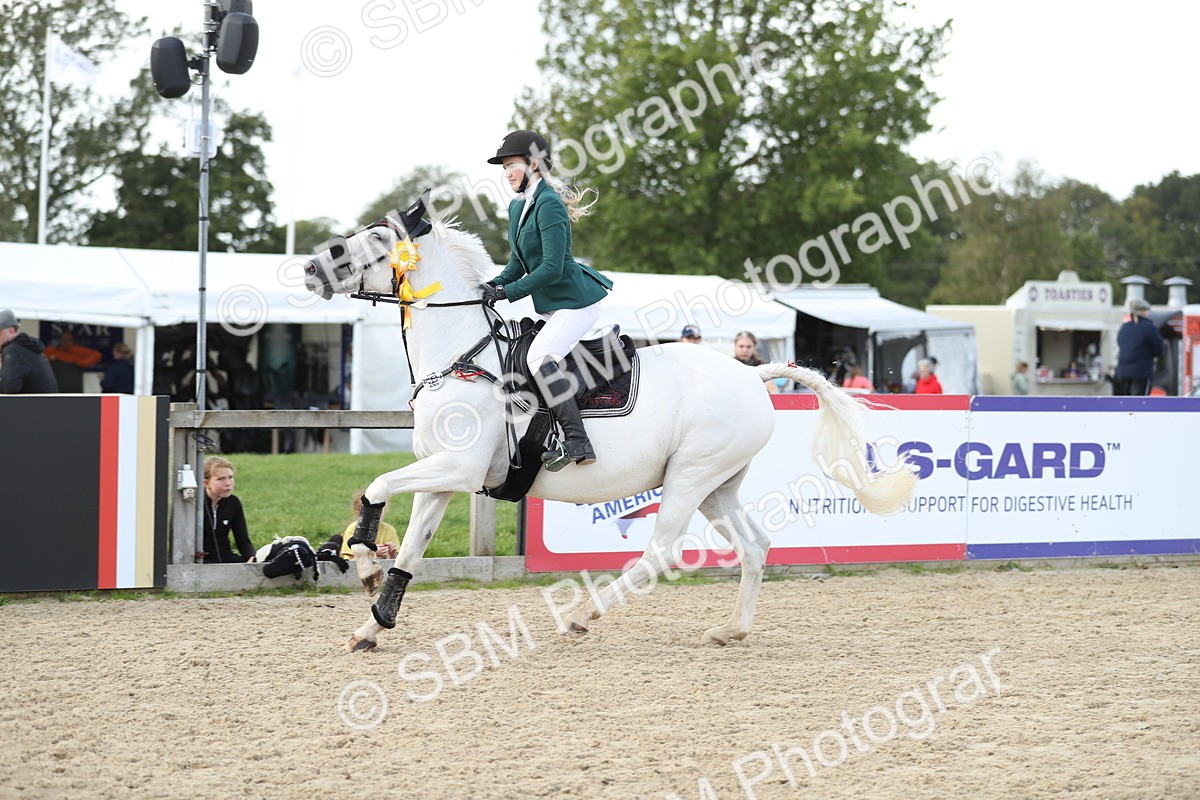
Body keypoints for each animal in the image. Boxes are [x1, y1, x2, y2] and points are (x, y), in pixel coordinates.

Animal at [304, 196, 916, 652]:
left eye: (378, 240)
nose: (312, 267)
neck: (462, 359)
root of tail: (751, 375)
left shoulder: (459, 467)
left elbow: (376, 488)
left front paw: (362, 563)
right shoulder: (445, 474)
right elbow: (408, 551)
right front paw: (372, 620)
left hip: (689, 477)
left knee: (660, 553)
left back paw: (583, 614)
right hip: (718, 485)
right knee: (754, 547)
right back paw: (731, 630)